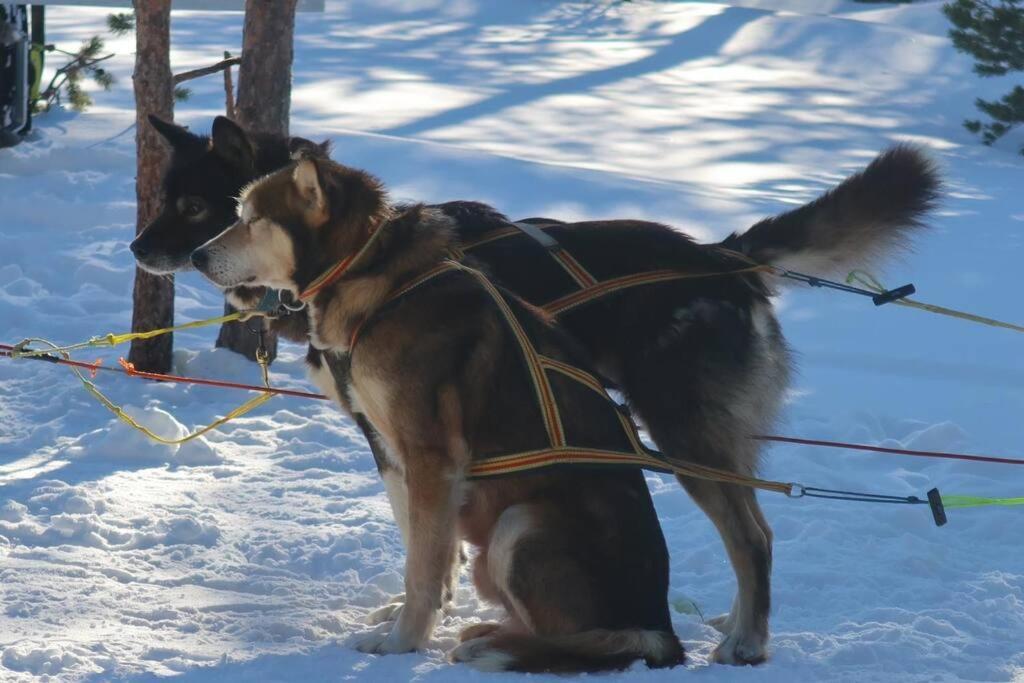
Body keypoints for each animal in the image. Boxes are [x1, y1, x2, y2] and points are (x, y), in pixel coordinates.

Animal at [192, 158, 688, 671]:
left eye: (252, 219)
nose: (196, 257)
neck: (379, 282)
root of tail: (659, 626)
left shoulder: (430, 458)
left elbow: (423, 568)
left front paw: (401, 641)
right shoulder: (406, 460)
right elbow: (431, 551)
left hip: (520, 522)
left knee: (581, 640)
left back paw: (496, 647)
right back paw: (490, 633)